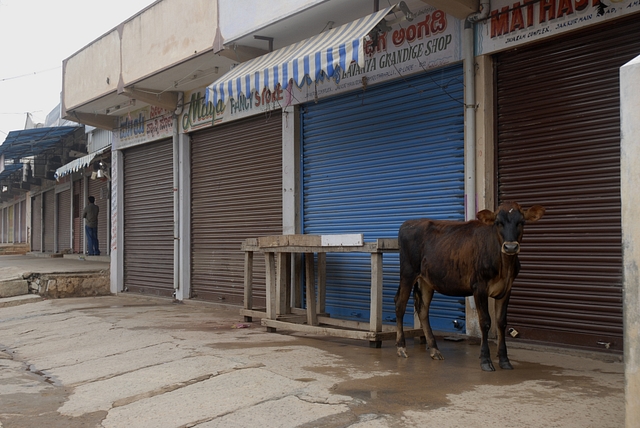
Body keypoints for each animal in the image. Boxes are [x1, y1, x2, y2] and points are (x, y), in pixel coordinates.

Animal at [396, 201, 544, 372]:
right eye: (498, 222)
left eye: (521, 222)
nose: (511, 247)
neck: (504, 266)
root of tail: (409, 222)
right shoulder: (479, 287)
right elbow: (485, 322)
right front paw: (485, 360)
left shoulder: (507, 289)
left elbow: (501, 322)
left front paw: (504, 360)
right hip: (408, 273)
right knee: (400, 305)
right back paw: (401, 347)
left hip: (426, 280)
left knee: (422, 309)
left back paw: (434, 350)